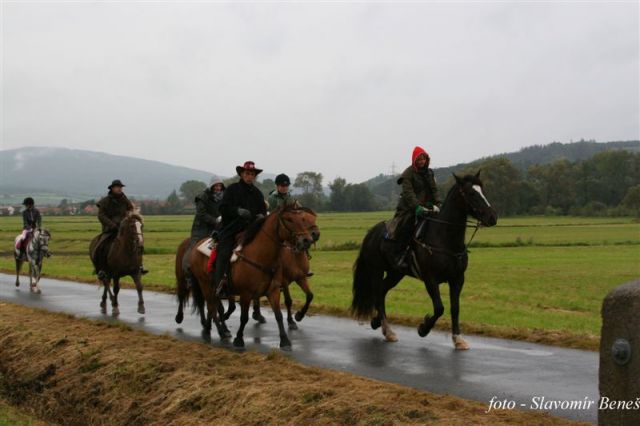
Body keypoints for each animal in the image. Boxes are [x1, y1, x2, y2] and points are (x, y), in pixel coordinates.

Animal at [175, 206, 318, 350]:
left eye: (303, 219)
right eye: (289, 219)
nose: (308, 239)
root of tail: (195, 245)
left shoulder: (277, 288)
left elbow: (280, 313)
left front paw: (285, 339)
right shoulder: (247, 293)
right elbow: (244, 317)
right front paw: (239, 339)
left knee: (212, 306)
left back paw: (210, 329)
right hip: (202, 283)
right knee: (207, 305)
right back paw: (215, 330)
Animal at [352, 172, 498, 350]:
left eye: (482, 190)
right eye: (471, 193)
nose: (492, 217)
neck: (444, 238)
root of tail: (371, 232)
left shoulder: (457, 279)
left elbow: (455, 308)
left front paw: (458, 339)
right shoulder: (430, 279)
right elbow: (439, 308)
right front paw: (423, 328)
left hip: (396, 273)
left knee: (382, 291)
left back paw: (378, 322)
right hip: (376, 270)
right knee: (378, 292)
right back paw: (387, 330)